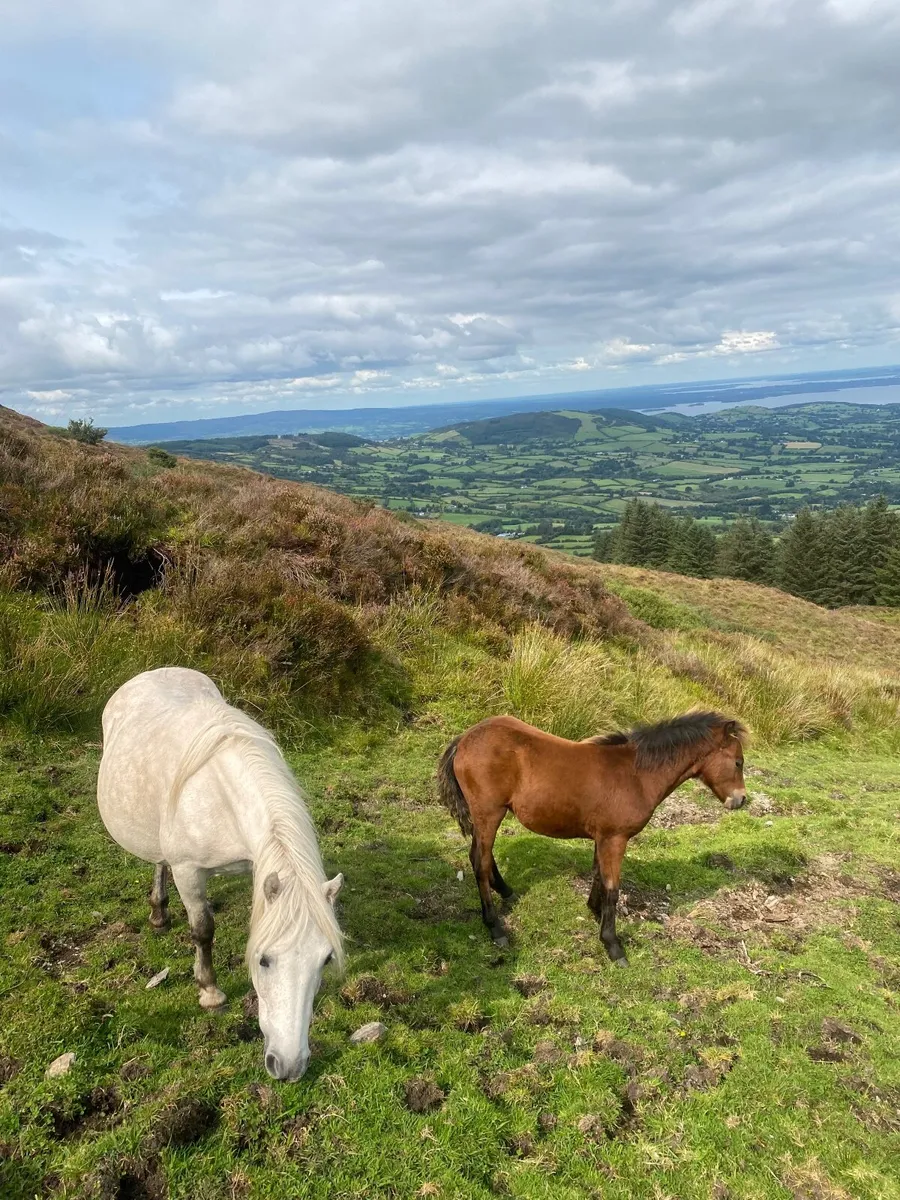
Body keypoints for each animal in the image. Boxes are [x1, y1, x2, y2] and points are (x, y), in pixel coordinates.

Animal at [97, 667, 344, 1081]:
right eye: (263, 960)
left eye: (325, 959)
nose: (289, 1066)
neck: (221, 794)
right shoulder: (189, 871)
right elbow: (202, 929)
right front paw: (210, 992)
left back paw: (159, 912)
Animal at [438, 710, 748, 965]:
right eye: (738, 762)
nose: (741, 800)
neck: (636, 774)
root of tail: (464, 739)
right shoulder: (615, 838)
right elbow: (612, 888)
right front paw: (613, 945)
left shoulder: (603, 838)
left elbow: (599, 875)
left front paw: (595, 912)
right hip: (489, 812)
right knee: (480, 862)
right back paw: (495, 927)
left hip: (486, 816)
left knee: (482, 855)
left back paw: (506, 891)